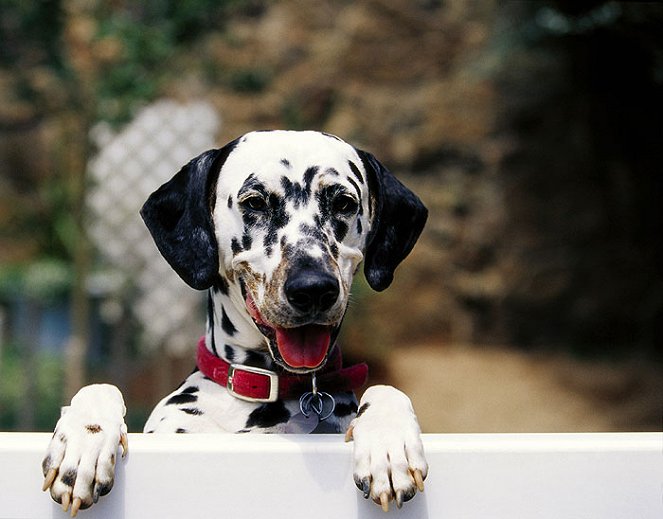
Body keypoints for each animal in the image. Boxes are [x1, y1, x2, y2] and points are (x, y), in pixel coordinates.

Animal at [45, 131, 430, 516]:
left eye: (345, 203)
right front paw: (83, 442)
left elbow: (386, 389)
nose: (313, 288)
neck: (267, 386)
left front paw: (388, 444)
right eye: (256, 202)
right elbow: (100, 387)